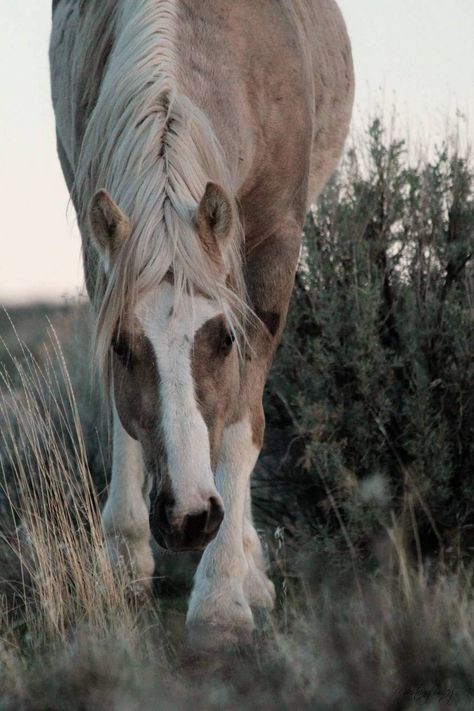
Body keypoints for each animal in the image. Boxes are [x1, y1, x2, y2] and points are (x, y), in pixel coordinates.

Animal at [50, 0, 354, 644]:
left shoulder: (273, 250)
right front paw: (125, 556)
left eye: (224, 340)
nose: (189, 517)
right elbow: (123, 409)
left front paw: (220, 602)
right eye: (121, 346)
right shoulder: (100, 244)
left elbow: (241, 426)